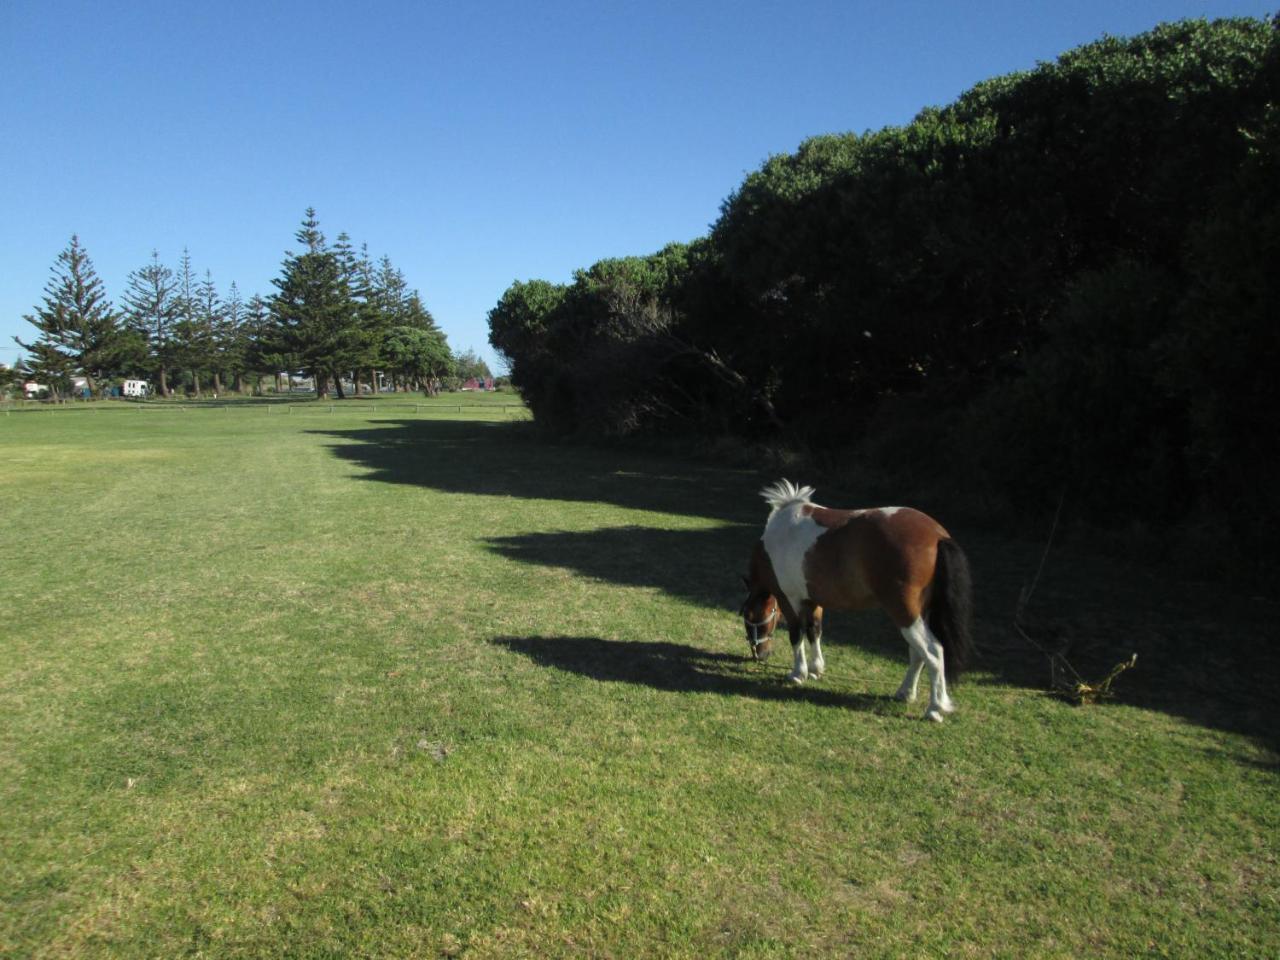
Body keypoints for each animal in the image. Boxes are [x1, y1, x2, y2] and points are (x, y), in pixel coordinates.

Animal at [742, 481, 967, 721]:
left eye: (751, 617)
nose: (759, 655)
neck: (779, 537)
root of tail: (938, 536)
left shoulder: (791, 600)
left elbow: (797, 634)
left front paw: (798, 673)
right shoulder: (813, 600)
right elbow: (814, 631)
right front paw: (816, 668)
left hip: (905, 613)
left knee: (933, 651)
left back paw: (935, 708)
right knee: (917, 653)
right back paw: (905, 693)